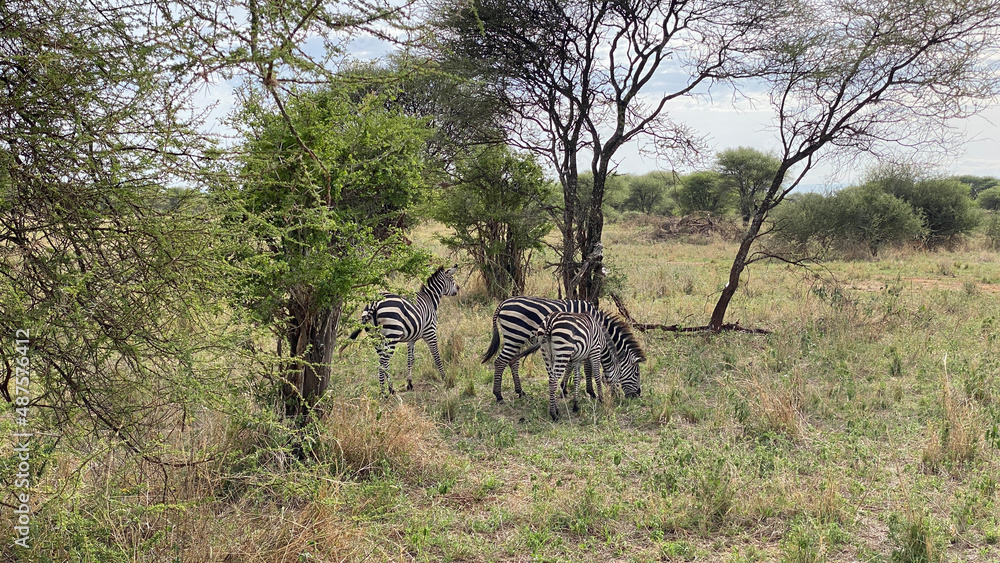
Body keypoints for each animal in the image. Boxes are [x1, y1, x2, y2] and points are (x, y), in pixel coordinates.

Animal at [346, 265, 459, 396]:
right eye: (452, 279)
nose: (458, 288)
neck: (430, 299)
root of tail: (375, 302)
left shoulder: (412, 338)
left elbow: (410, 359)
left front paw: (409, 383)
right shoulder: (430, 332)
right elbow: (436, 355)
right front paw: (444, 377)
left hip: (376, 338)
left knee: (382, 362)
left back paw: (390, 389)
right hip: (392, 335)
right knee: (383, 362)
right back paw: (383, 393)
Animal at [481, 297, 645, 403]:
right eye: (637, 373)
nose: (637, 395)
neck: (597, 321)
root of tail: (503, 303)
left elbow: (571, 366)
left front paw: (564, 389)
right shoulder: (588, 340)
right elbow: (587, 368)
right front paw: (591, 392)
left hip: (516, 338)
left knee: (512, 362)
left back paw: (520, 391)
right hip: (515, 335)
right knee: (500, 362)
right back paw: (499, 396)